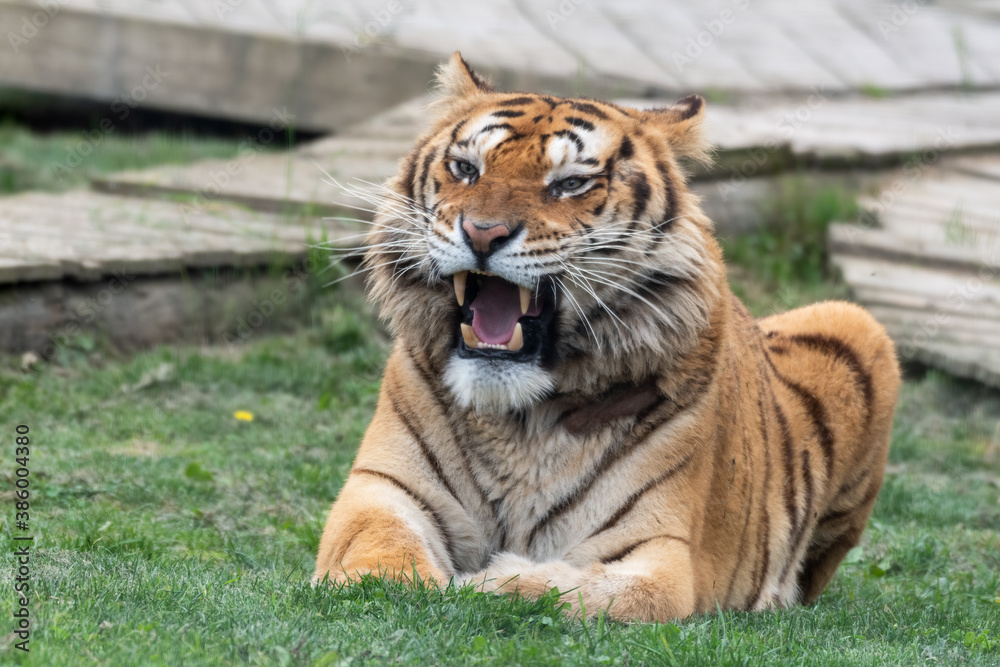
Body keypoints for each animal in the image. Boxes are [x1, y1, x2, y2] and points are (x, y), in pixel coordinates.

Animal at [313, 52, 901, 621]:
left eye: (570, 183)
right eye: (466, 169)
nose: (482, 233)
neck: (518, 422)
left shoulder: (659, 553)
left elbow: (579, 592)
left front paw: (484, 581)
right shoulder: (383, 491)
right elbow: (378, 559)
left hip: (860, 324)